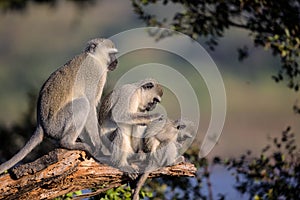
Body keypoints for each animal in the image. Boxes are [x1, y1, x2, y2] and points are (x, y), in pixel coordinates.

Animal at [0, 38, 118, 174]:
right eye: (111, 54)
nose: (116, 62)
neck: (95, 58)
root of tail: (41, 124)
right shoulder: (93, 72)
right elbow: (90, 104)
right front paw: (98, 143)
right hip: (57, 125)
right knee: (83, 103)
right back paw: (68, 143)